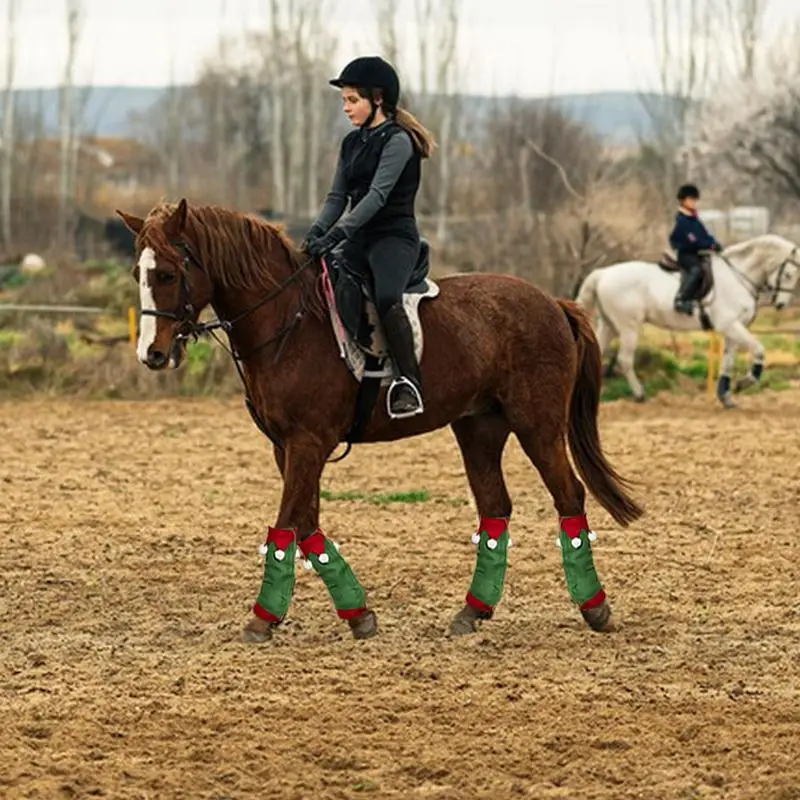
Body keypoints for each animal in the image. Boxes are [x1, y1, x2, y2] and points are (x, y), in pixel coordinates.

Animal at [116, 198, 644, 644]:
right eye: (139, 273)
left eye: (168, 273)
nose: (153, 354)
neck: (287, 323)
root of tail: (553, 303)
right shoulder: (286, 446)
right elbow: (307, 525)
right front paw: (359, 615)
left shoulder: (307, 442)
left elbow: (286, 526)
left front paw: (262, 621)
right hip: (479, 428)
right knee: (496, 508)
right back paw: (472, 612)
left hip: (537, 425)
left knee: (569, 496)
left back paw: (594, 609)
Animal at [575, 234, 800, 407]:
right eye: (789, 274)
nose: (781, 305)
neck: (739, 277)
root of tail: (603, 273)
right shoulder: (730, 325)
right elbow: (759, 349)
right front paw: (745, 383)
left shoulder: (734, 329)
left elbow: (728, 361)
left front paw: (725, 397)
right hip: (628, 327)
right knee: (625, 359)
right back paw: (639, 394)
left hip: (609, 325)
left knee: (597, 352)